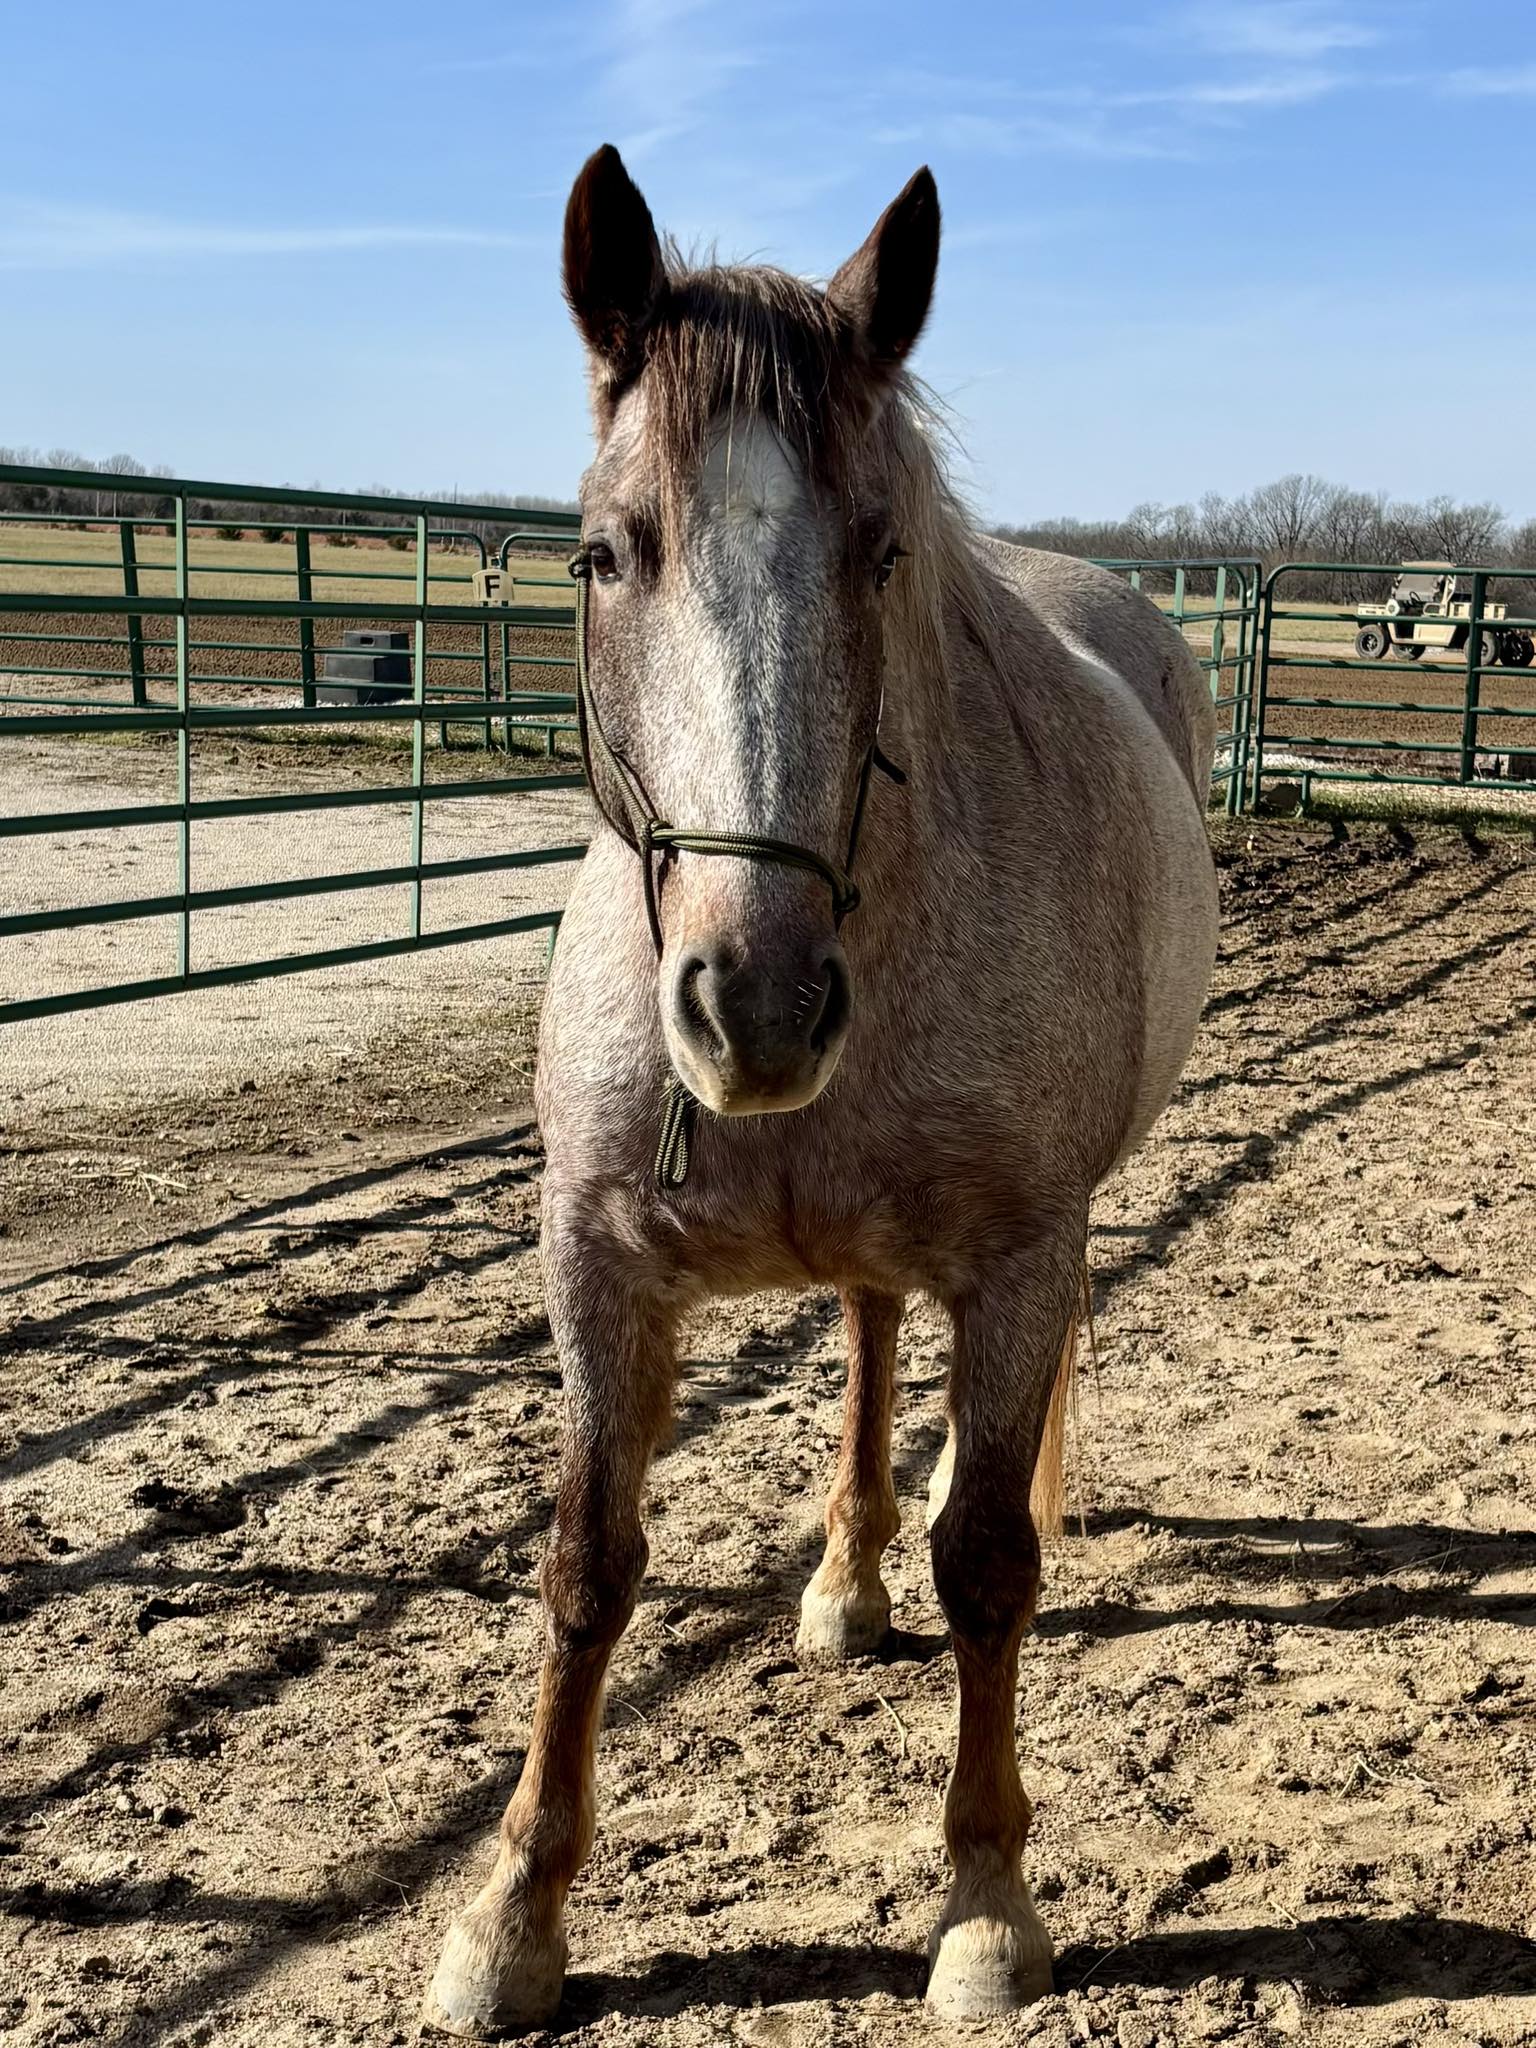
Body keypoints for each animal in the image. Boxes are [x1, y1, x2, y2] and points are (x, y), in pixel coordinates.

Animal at [424, 145, 1218, 2036]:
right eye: (603, 550)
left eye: (879, 550)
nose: (759, 1003)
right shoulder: (595, 1267)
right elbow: (587, 1565)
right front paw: (511, 1915)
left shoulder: (1016, 1256)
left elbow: (990, 1568)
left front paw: (986, 1905)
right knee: (863, 1338)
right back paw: (850, 1575)